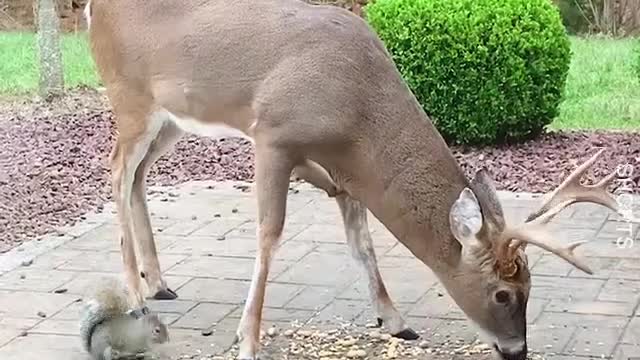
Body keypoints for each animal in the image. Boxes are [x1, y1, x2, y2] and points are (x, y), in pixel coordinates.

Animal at [84, 0, 620, 360]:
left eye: (531, 283)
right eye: (503, 294)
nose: (517, 350)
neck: (357, 112)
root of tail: (91, 9)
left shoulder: (342, 169)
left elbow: (362, 242)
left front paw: (396, 321)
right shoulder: (274, 135)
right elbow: (268, 235)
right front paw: (247, 338)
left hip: (172, 119)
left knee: (138, 176)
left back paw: (159, 284)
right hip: (130, 97)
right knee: (116, 169)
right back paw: (136, 292)